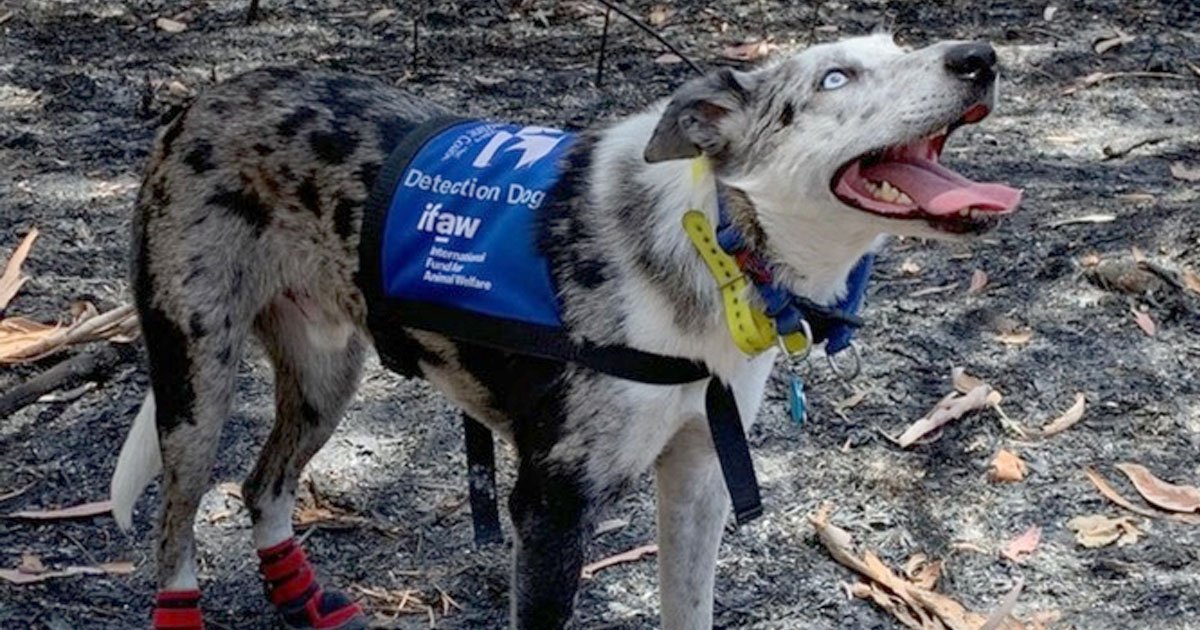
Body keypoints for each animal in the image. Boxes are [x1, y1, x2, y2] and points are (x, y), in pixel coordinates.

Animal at [108, 35, 1017, 628]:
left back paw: (300, 599)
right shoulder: (548, 510)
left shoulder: (698, 480)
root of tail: (202, 101)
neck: (715, 243)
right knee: (175, 525)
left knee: (261, 486)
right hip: (196, 381)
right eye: (835, 76)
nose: (979, 57)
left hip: (327, 375)